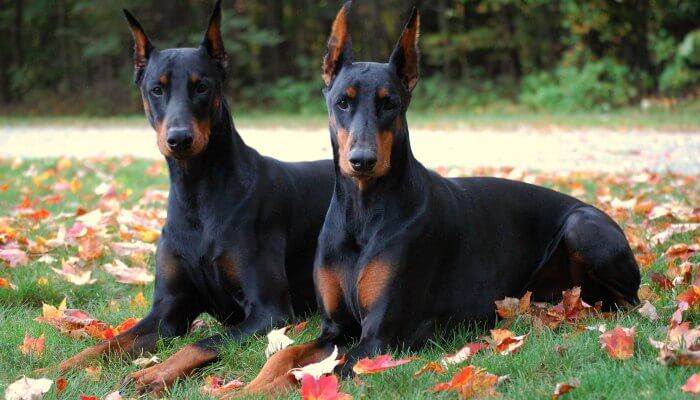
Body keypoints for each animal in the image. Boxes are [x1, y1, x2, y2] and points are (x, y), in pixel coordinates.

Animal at [45, 0, 334, 394]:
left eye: (202, 87)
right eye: (156, 89)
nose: (179, 138)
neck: (196, 192)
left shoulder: (268, 311)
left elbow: (202, 342)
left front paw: (152, 373)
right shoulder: (167, 310)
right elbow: (109, 343)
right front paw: (60, 367)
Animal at [243, 1, 644, 392]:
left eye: (390, 103)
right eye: (343, 102)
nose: (362, 160)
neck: (363, 209)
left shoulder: (379, 337)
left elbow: (311, 377)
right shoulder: (335, 328)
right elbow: (284, 357)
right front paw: (250, 386)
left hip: (582, 228)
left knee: (628, 303)